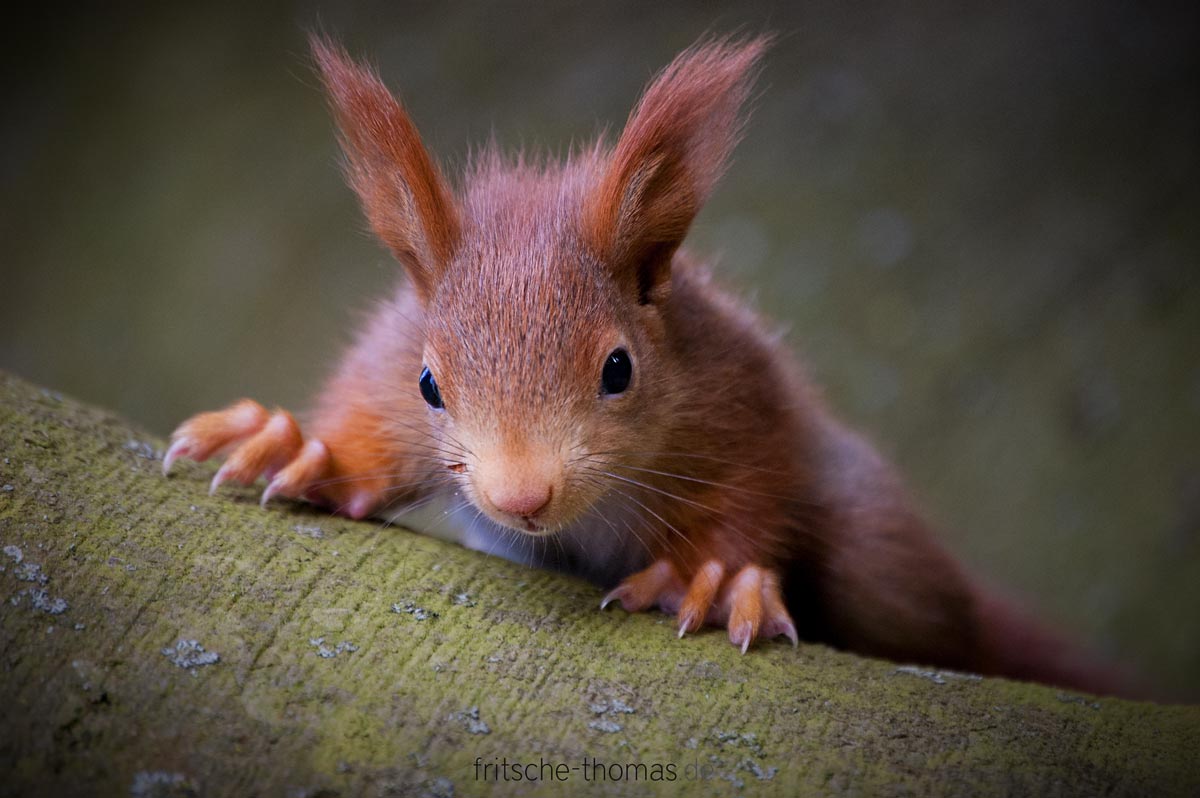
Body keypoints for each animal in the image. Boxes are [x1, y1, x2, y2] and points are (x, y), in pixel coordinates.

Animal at [164, 32, 1128, 691]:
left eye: (620, 369)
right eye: (430, 385)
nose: (521, 498)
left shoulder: (739, 395)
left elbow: (754, 487)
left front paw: (713, 576)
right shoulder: (389, 355)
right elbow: (359, 421)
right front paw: (300, 448)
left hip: (880, 550)